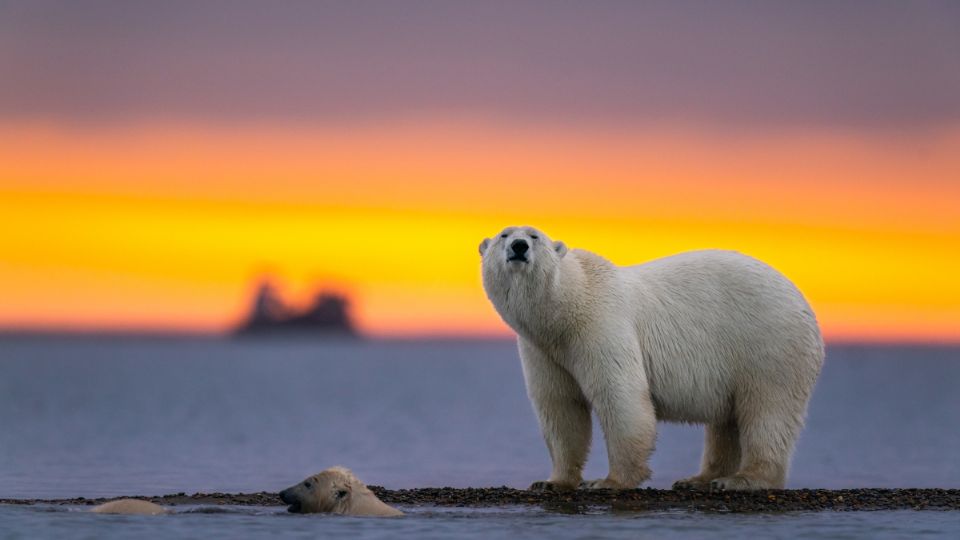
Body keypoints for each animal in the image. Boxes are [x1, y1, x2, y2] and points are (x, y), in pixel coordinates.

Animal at [480, 226, 824, 492]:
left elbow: (620, 396)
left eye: (534, 235)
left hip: (769, 344)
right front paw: (552, 481)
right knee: (727, 422)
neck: (566, 309)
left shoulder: (601, 325)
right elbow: (560, 407)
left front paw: (608, 481)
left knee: (767, 410)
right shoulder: (543, 350)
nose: (519, 246)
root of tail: (804, 303)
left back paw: (742, 479)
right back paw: (699, 479)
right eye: (504, 234)